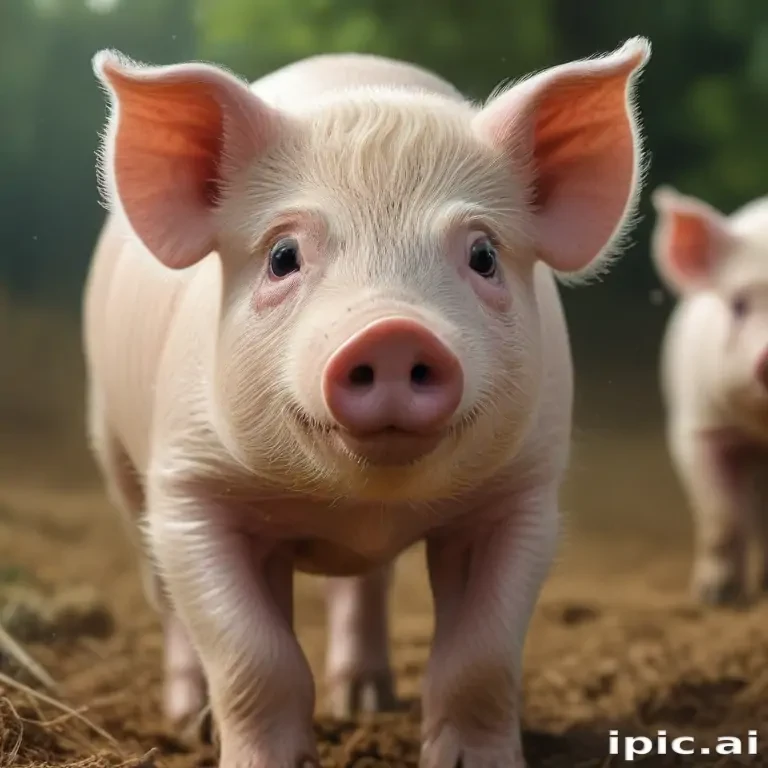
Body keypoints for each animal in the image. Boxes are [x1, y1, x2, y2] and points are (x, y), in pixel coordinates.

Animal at [85, 38, 650, 768]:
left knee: (366, 587)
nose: (392, 331)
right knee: (166, 601)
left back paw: (365, 702)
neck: (364, 503)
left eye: (484, 254)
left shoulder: (523, 493)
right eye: (283, 255)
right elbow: (254, 656)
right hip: (118, 458)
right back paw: (190, 722)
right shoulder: (189, 487)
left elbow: (481, 657)